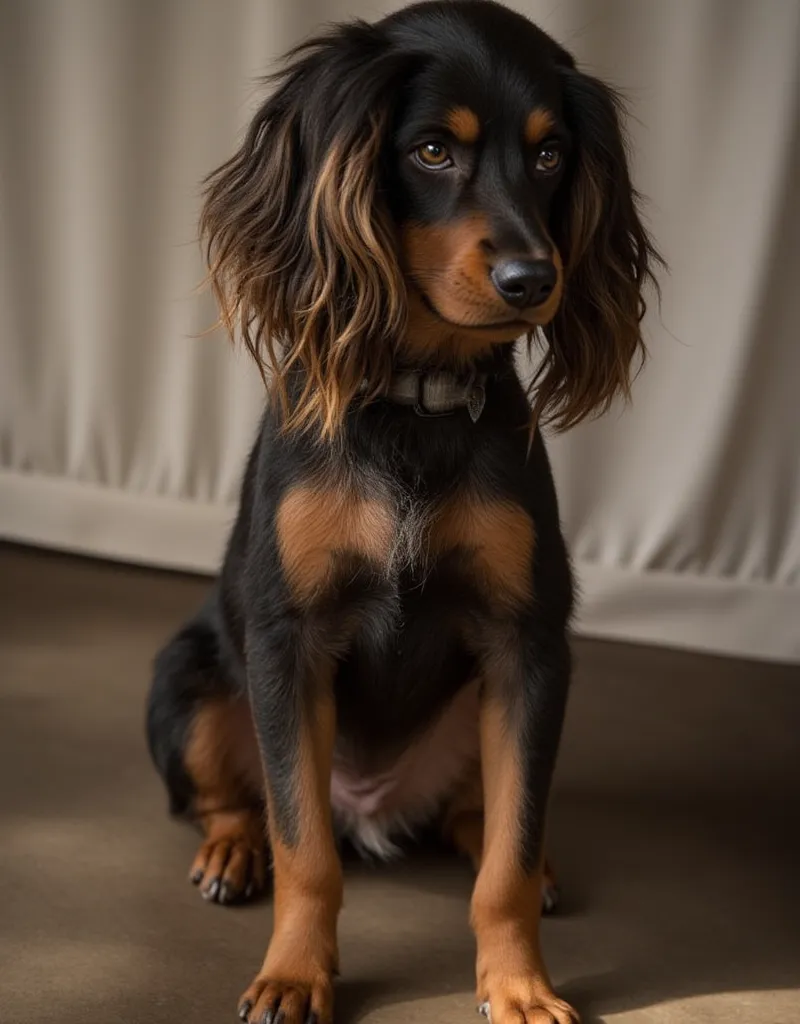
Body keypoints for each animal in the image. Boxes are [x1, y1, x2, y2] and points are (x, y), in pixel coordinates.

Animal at [146, 4, 659, 1019]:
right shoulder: (289, 641)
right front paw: (293, 974)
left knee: (484, 816)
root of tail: (373, 807)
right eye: (430, 150)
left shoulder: (530, 650)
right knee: (245, 800)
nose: (532, 278)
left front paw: (520, 982)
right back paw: (231, 849)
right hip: (184, 681)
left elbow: (507, 858)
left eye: (551, 155)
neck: (416, 402)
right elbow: (305, 850)